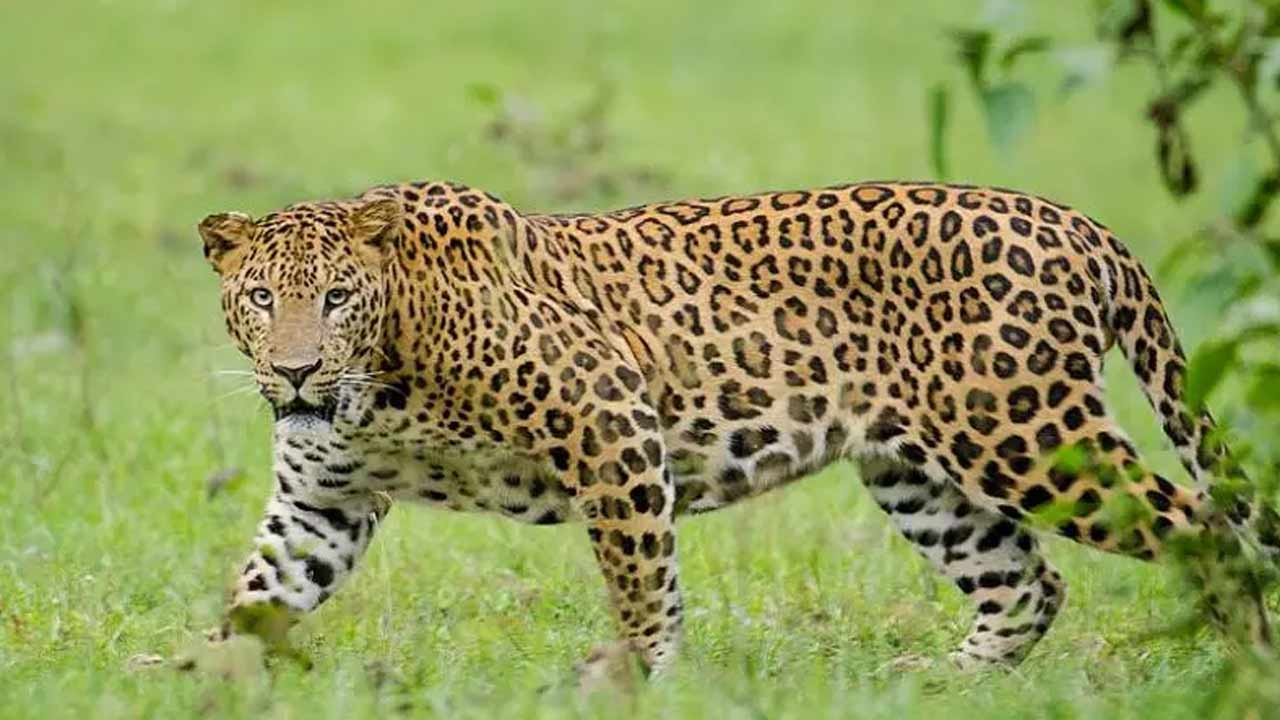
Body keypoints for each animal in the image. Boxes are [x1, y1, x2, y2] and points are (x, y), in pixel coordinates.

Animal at [198, 179, 1280, 675]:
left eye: (337, 297)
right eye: (261, 297)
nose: (295, 370)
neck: (378, 384)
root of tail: (1077, 223)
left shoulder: (609, 417)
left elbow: (640, 577)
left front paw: (633, 676)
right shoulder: (322, 502)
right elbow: (258, 593)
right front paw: (197, 676)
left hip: (1025, 435)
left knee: (1203, 531)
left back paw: (1240, 669)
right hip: (919, 471)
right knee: (1027, 584)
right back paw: (944, 682)